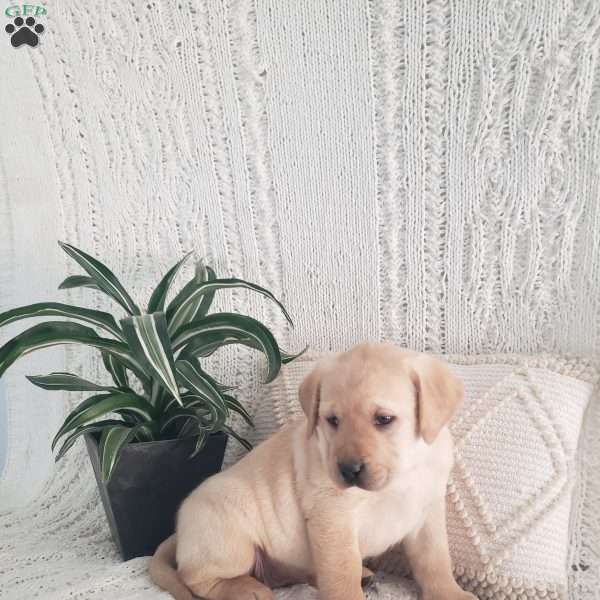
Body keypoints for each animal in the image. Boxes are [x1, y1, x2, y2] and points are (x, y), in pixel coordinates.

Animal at [151, 342, 478, 600]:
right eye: (332, 420)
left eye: (384, 419)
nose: (348, 470)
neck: (403, 472)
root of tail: (180, 532)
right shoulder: (332, 516)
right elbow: (341, 573)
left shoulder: (427, 513)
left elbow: (435, 562)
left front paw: (450, 593)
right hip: (231, 542)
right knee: (194, 578)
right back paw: (246, 589)